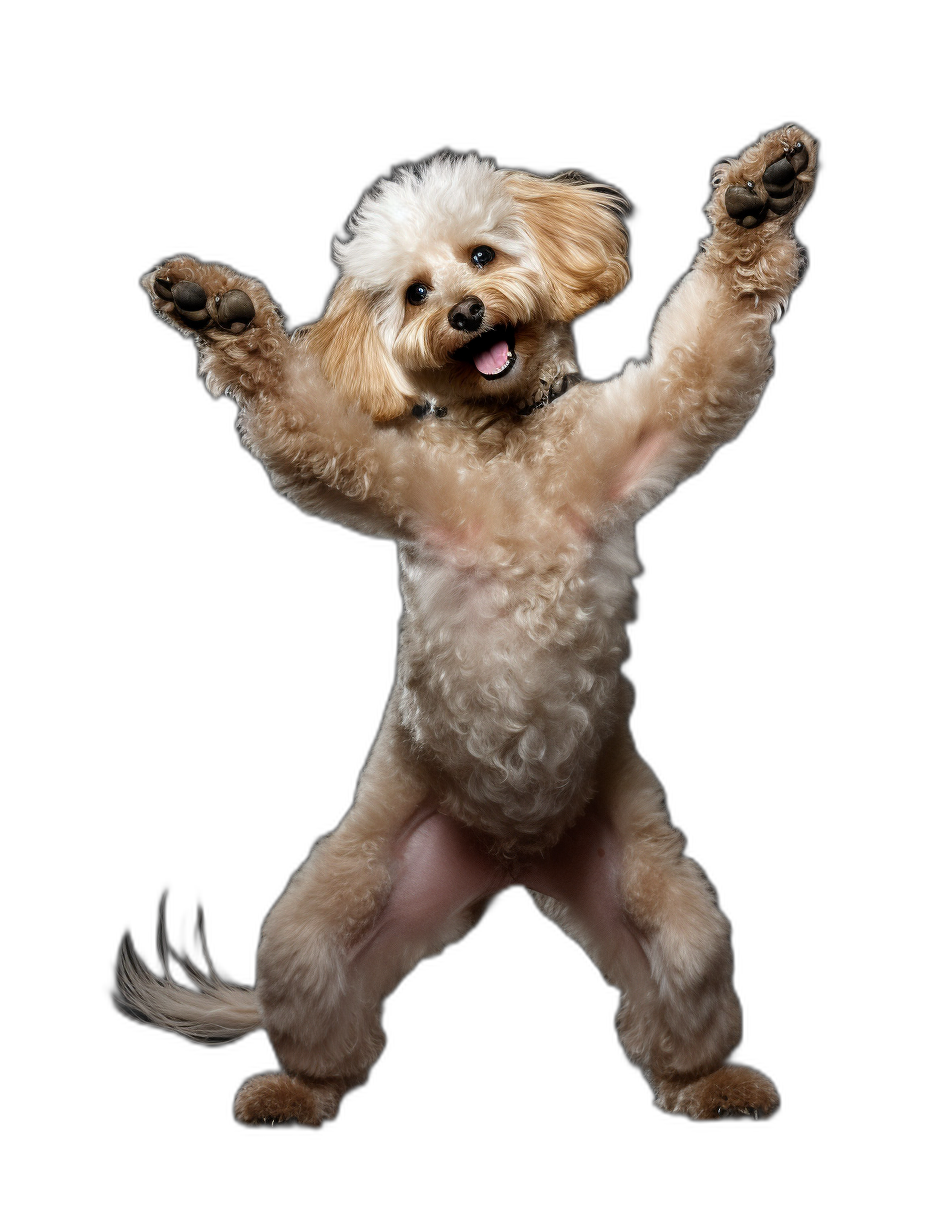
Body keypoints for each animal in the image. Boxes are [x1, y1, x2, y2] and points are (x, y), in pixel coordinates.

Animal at [117, 125, 818, 1128]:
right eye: (414, 293)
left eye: (482, 256)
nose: (466, 312)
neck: (507, 441)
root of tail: (513, 856)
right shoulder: (374, 467)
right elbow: (298, 413)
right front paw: (217, 310)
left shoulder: (652, 425)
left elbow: (716, 340)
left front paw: (762, 196)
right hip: (326, 918)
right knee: (325, 1020)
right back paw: (294, 1091)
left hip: (660, 898)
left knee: (676, 992)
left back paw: (713, 1083)